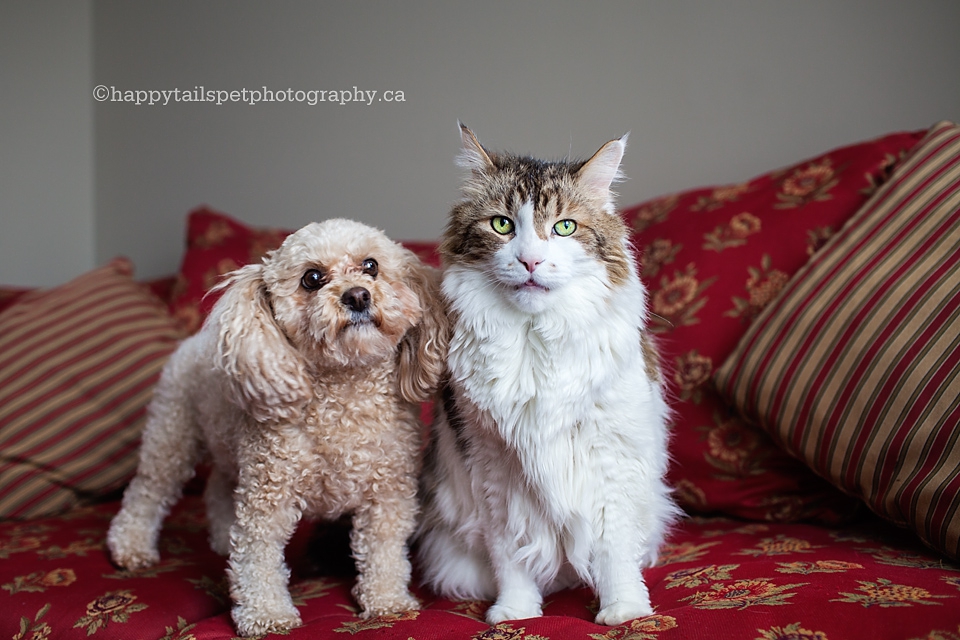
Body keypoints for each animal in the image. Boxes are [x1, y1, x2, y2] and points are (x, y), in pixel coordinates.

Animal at [107, 219, 448, 636]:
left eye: (371, 266)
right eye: (312, 278)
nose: (357, 296)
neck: (345, 392)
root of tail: (196, 338)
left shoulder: (388, 494)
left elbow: (384, 551)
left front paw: (388, 602)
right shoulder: (269, 495)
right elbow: (258, 558)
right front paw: (267, 615)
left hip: (230, 450)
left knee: (217, 485)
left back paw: (220, 538)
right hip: (173, 435)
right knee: (148, 491)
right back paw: (131, 547)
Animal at [416, 124, 680, 624]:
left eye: (564, 227)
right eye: (502, 225)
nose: (531, 262)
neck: (533, 339)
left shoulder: (610, 461)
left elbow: (615, 551)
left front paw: (624, 610)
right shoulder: (495, 470)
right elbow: (510, 557)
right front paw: (515, 613)